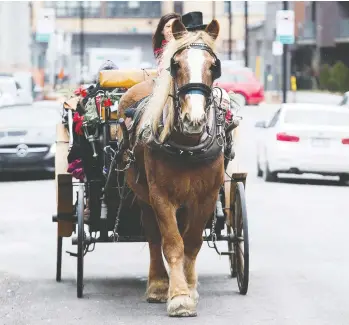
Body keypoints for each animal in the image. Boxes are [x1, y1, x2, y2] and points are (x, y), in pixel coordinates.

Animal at [117, 18, 223, 316]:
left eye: (214, 66)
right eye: (176, 65)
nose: (193, 119)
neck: (187, 146)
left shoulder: (207, 196)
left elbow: (192, 242)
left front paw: (190, 288)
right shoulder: (160, 196)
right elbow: (172, 243)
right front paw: (178, 296)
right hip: (142, 194)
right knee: (154, 236)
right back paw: (157, 285)